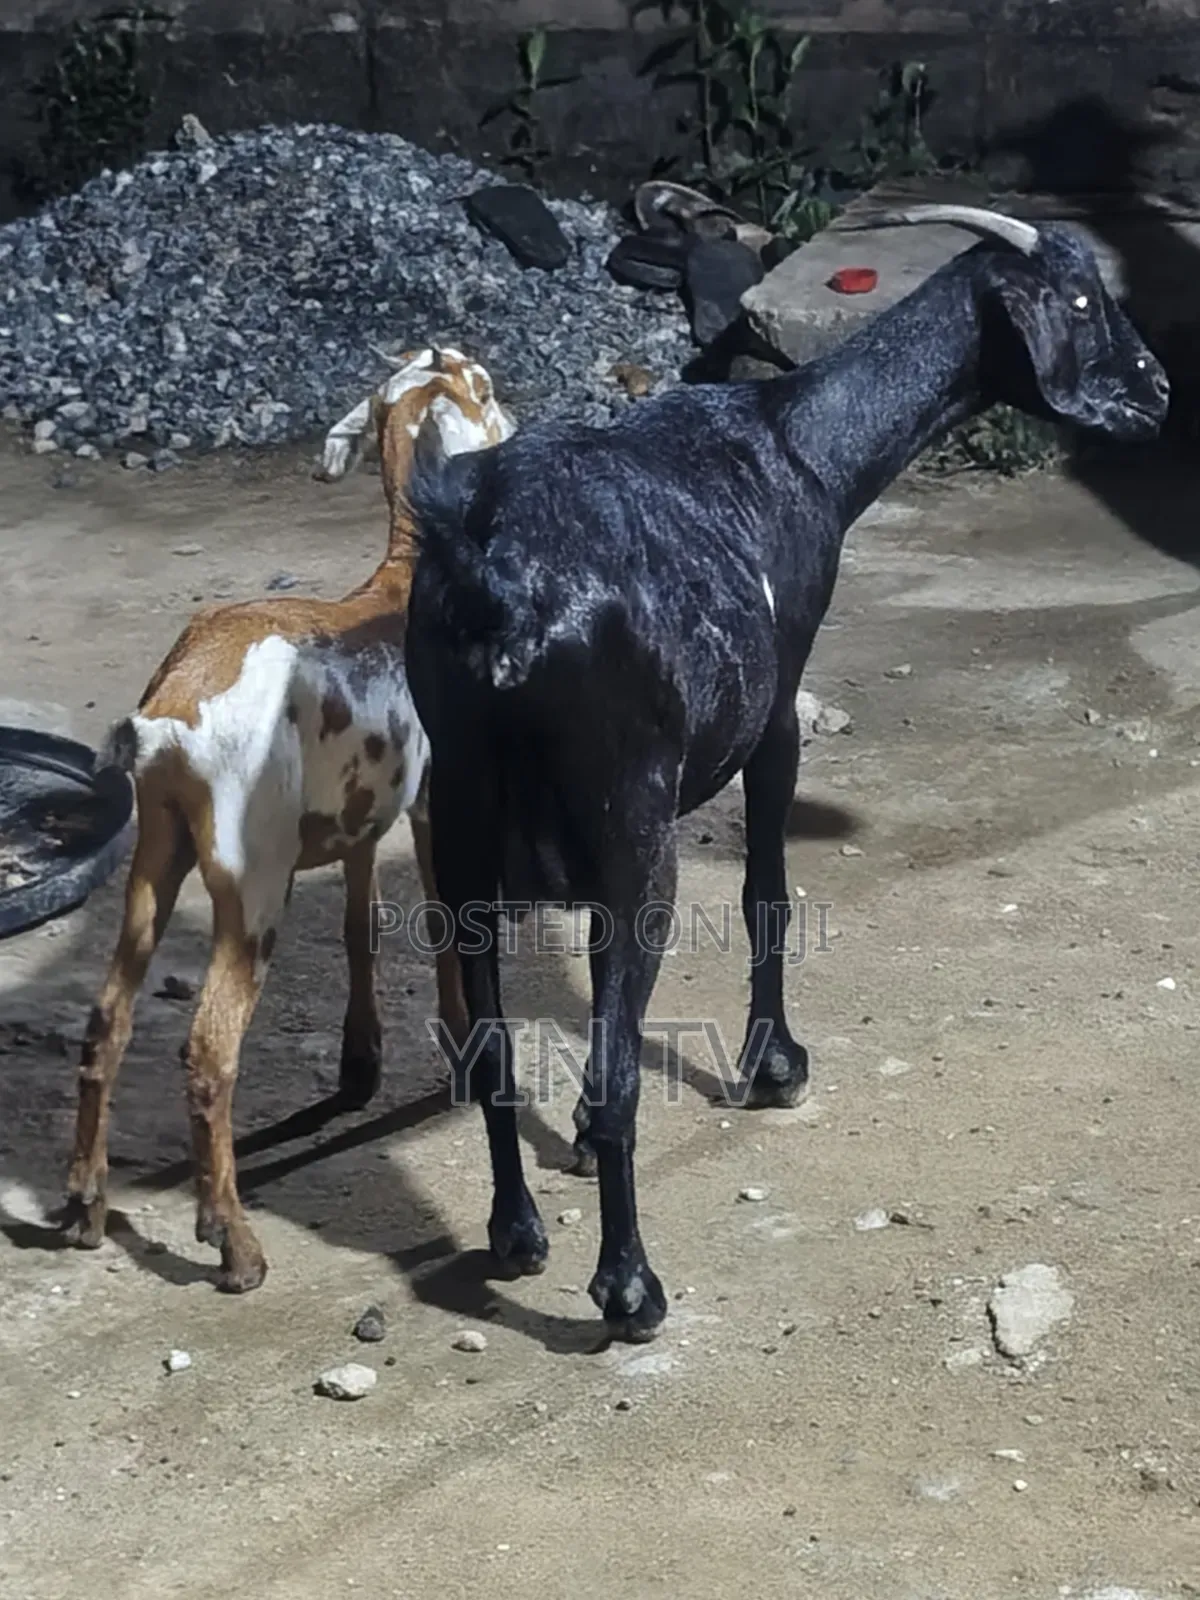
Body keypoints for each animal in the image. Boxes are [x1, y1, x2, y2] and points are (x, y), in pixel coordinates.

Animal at [64, 347, 514, 1293]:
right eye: (483, 384)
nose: (520, 423)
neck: (402, 584)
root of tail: (172, 717)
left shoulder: (360, 820)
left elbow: (360, 928)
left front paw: (362, 1061)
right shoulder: (432, 802)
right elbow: (447, 925)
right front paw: (462, 1054)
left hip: (154, 853)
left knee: (107, 1019)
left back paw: (85, 1205)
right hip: (252, 882)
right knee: (208, 1052)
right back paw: (232, 1243)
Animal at [404, 207, 1169, 1341]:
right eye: (1080, 300)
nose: (1158, 393)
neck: (797, 447)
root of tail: (498, 580)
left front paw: (576, 1143)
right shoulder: (777, 709)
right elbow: (766, 889)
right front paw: (775, 1064)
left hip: (461, 813)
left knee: (496, 1047)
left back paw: (516, 1233)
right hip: (633, 825)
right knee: (619, 1076)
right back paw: (630, 1288)